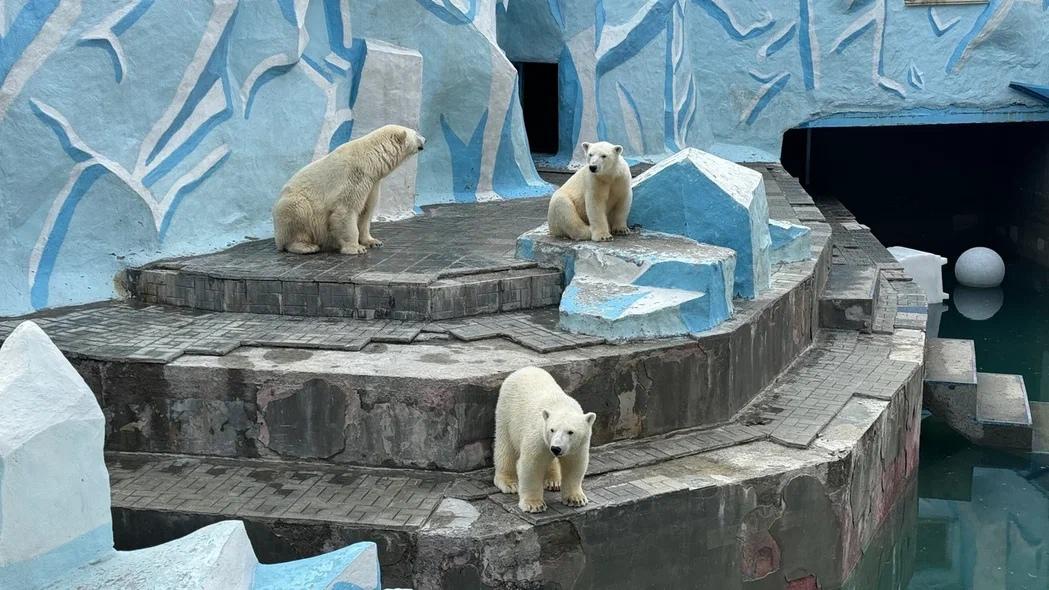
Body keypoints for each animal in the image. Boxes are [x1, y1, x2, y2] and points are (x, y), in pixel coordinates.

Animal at [276, 123, 427, 253]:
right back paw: (306, 246)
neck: (370, 159)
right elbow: (346, 210)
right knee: (298, 211)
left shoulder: (372, 183)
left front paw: (373, 241)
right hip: (293, 205)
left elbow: (366, 212)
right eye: (416, 133)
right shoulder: (354, 176)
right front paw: (356, 248)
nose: (425, 139)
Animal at [493, 365, 595, 512]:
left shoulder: (578, 445)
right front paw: (534, 505)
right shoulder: (538, 436)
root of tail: (524, 369)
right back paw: (509, 483)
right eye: (552, 430)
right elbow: (532, 465)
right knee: (506, 448)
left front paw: (576, 499)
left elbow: (574, 464)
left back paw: (554, 481)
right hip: (506, 413)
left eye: (571, 432)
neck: (560, 405)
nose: (556, 448)